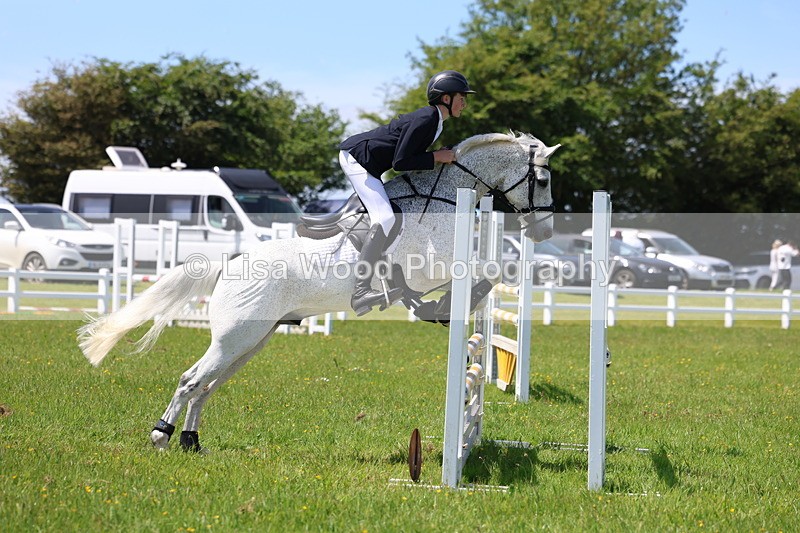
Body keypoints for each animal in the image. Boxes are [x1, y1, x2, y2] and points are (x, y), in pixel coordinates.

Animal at [78, 131, 561, 452]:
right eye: (543, 180)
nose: (544, 231)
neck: (440, 198)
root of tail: (229, 265)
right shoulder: (434, 268)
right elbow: (487, 268)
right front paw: (444, 306)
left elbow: (486, 271)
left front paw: (442, 307)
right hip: (233, 337)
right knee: (191, 380)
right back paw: (161, 435)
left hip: (252, 341)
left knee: (207, 386)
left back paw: (192, 441)